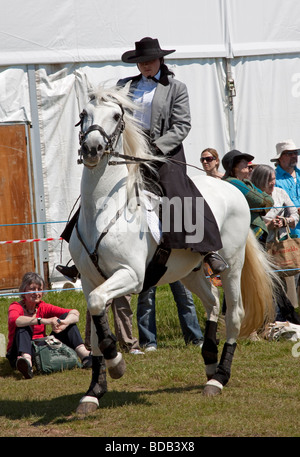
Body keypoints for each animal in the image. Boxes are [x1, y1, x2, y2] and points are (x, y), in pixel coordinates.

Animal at [69, 84, 276, 414]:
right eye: (83, 113)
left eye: (115, 116)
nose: (92, 149)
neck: (103, 208)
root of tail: (233, 188)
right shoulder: (90, 281)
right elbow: (94, 327)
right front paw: (94, 392)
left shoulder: (131, 276)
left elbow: (100, 309)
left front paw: (117, 365)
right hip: (189, 271)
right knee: (212, 301)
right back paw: (209, 360)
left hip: (232, 264)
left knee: (234, 314)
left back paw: (218, 378)